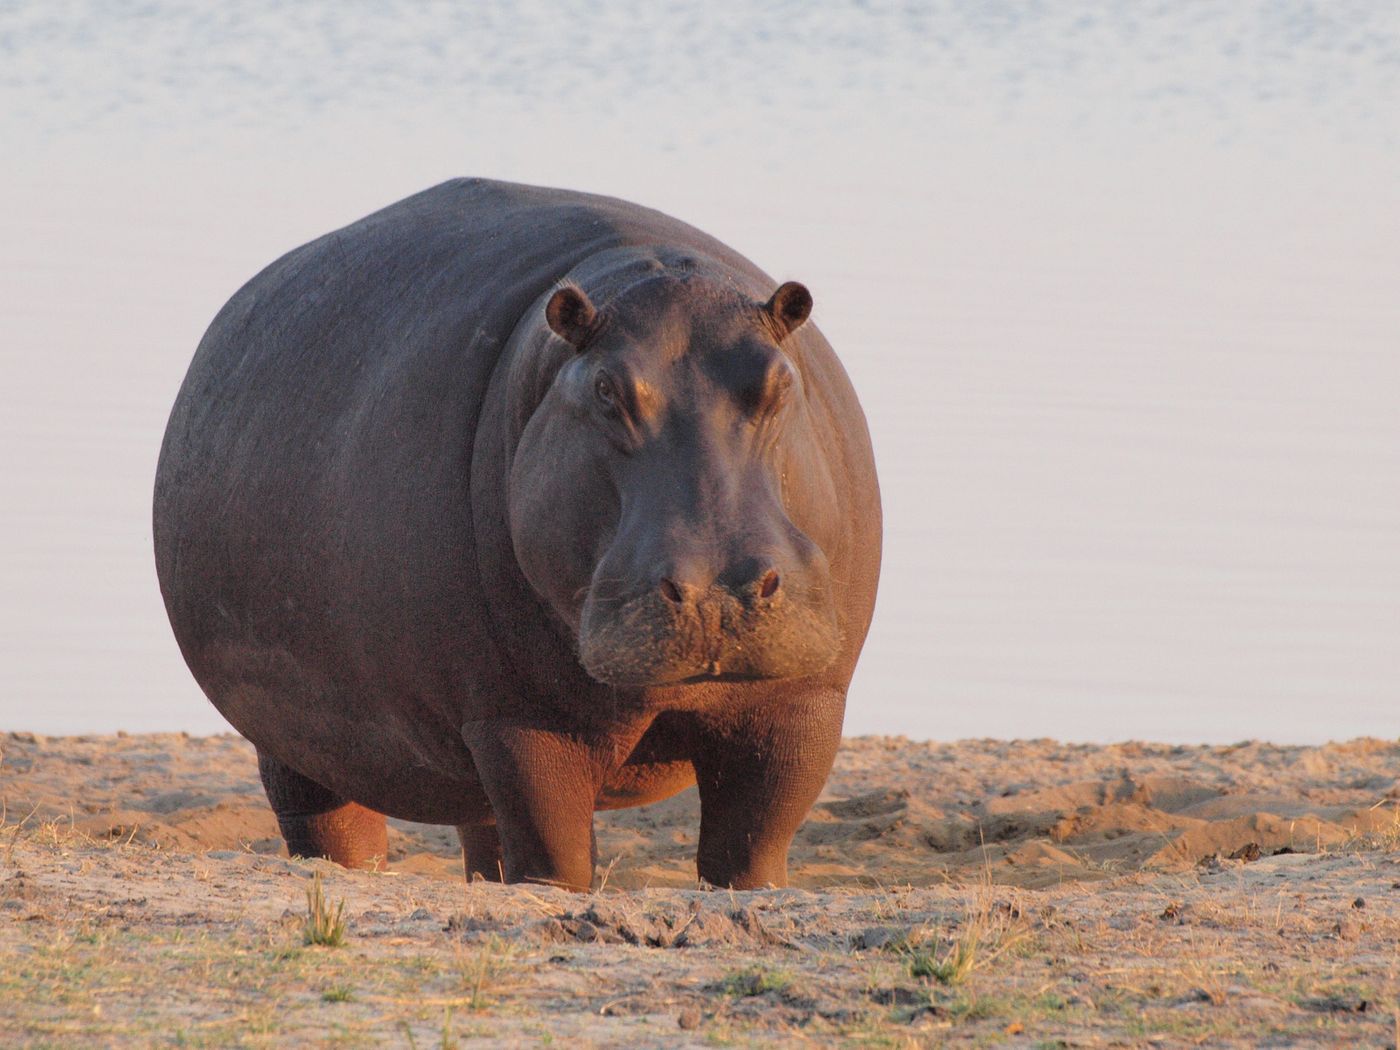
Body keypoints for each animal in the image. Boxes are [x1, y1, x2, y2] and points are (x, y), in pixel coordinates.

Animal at [150, 179, 873, 890]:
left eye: (780, 380)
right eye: (606, 390)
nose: (717, 593)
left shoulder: (803, 706)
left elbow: (753, 851)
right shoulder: (519, 720)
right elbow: (555, 855)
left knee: (484, 836)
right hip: (298, 741)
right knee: (331, 826)